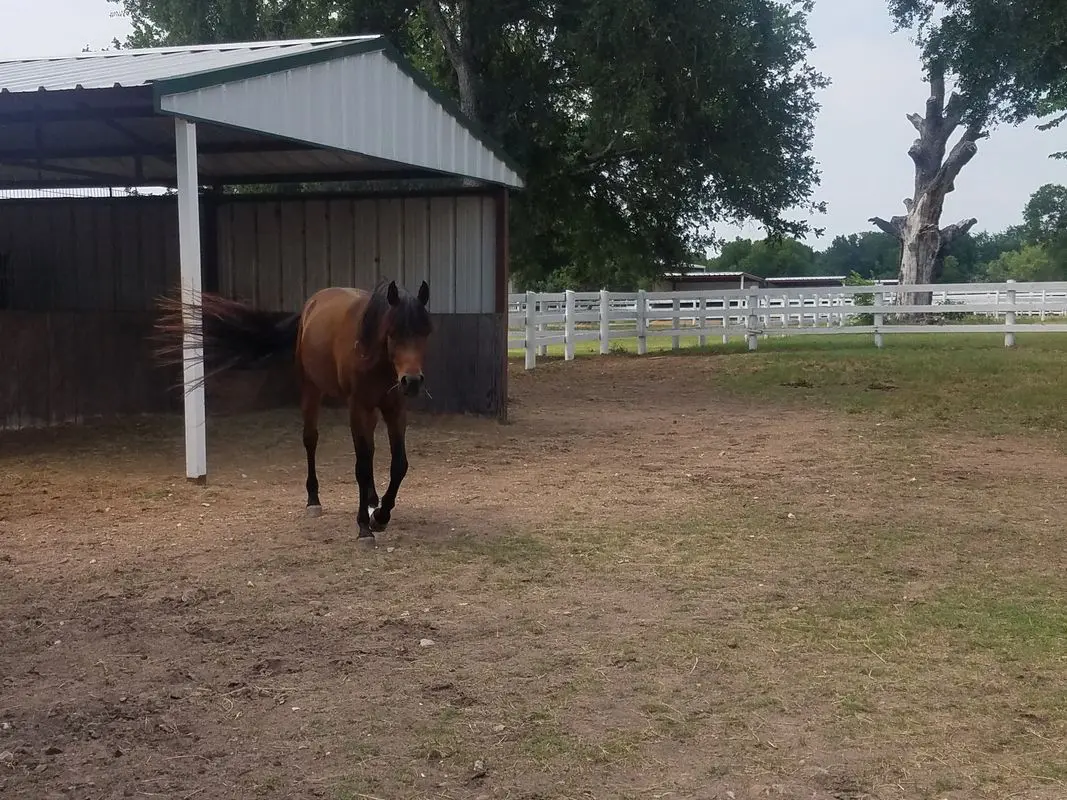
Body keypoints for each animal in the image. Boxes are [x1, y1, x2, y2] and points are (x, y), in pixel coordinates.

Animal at [155, 279, 431, 550]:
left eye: (425, 333)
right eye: (392, 333)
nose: (412, 381)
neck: (372, 353)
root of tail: (312, 303)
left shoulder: (395, 407)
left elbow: (398, 464)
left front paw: (381, 515)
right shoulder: (357, 407)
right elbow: (362, 467)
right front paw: (365, 527)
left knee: (370, 450)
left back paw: (373, 501)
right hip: (311, 389)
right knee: (311, 440)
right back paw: (314, 500)